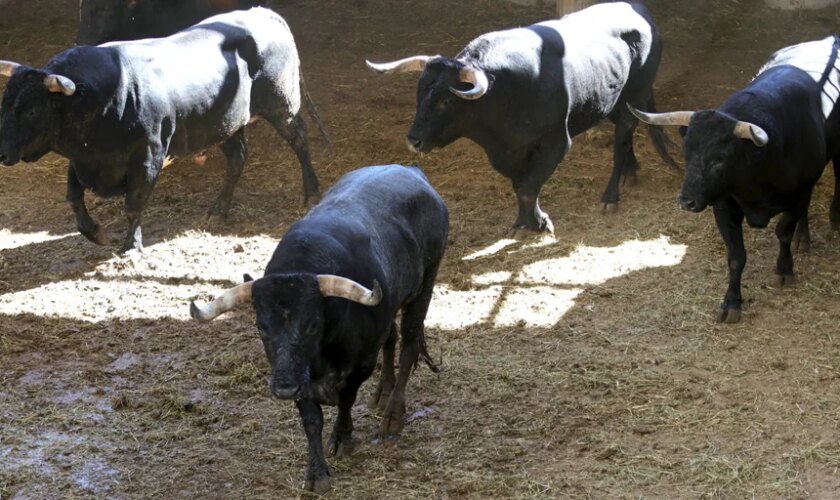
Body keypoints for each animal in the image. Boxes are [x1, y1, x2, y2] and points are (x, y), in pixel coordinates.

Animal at [0, 8, 328, 254]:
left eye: (32, 110)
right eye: (4, 102)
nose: (2, 152)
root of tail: (263, 13)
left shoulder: (148, 156)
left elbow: (133, 205)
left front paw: (130, 247)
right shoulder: (83, 159)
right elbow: (73, 197)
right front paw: (95, 233)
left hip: (281, 103)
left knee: (299, 139)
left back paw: (311, 193)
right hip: (226, 123)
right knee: (237, 158)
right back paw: (218, 210)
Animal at [188, 166, 450, 494]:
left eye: (312, 324)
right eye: (261, 326)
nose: (283, 388)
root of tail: (413, 171)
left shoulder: (360, 364)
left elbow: (346, 400)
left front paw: (342, 438)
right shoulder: (298, 376)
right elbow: (311, 420)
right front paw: (316, 473)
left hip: (425, 284)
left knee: (409, 344)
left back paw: (392, 413)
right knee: (391, 338)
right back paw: (382, 392)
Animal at [632, 36, 840, 324]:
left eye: (719, 159)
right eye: (687, 151)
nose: (686, 201)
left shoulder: (798, 193)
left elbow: (783, 231)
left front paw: (784, 269)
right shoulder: (723, 206)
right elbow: (736, 256)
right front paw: (731, 302)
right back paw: (804, 238)